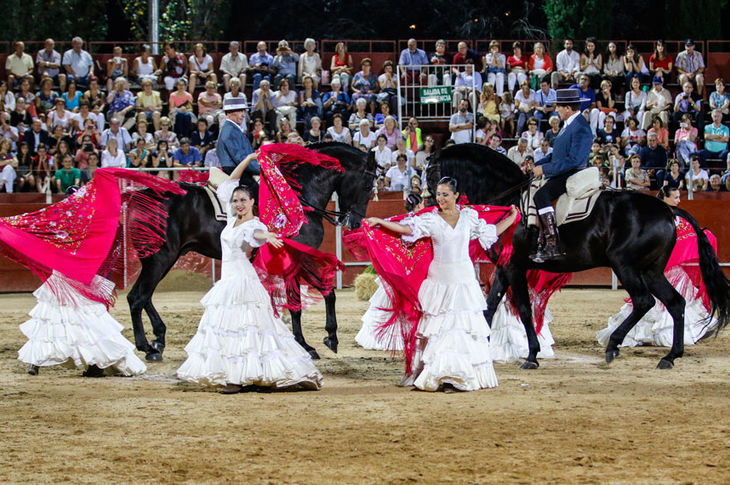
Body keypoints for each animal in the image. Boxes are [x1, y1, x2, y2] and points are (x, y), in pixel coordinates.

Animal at [126, 141, 376, 360]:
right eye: (367, 186)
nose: (354, 222)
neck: (297, 197)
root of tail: (140, 196)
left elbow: (320, 294)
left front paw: (319, 339)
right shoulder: (297, 258)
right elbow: (305, 300)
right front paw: (313, 343)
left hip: (162, 259)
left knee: (144, 296)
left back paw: (158, 338)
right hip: (161, 258)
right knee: (137, 297)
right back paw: (147, 346)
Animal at [426, 142, 728, 368]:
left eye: (431, 175)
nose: (433, 204)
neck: (508, 200)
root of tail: (666, 209)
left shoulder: (515, 266)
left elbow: (523, 309)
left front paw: (532, 355)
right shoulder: (503, 268)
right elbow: (489, 307)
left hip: (625, 265)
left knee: (644, 301)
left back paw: (614, 346)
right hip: (651, 270)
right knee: (675, 302)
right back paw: (670, 356)